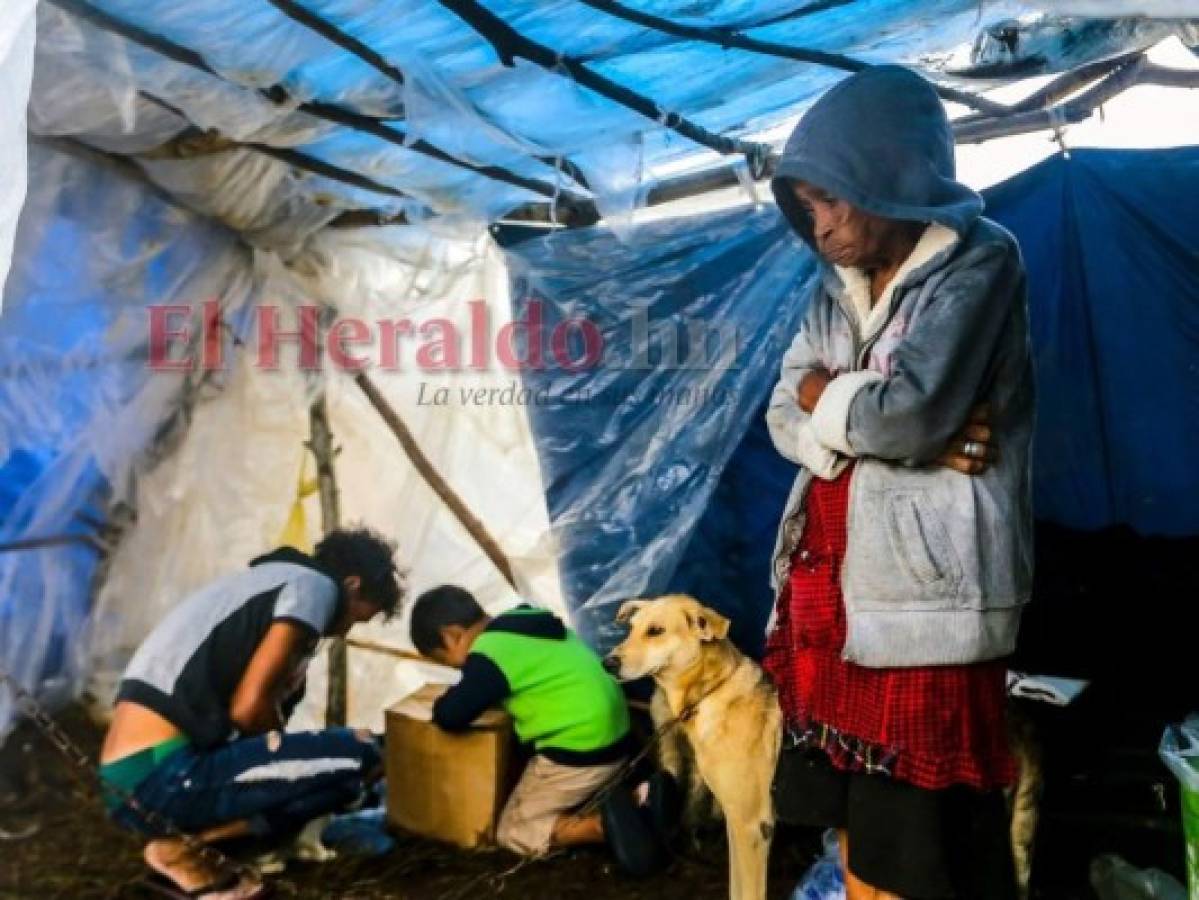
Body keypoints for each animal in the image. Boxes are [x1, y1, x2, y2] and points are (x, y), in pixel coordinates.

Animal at [613, 599, 781, 900]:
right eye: (631, 629)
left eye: (655, 630)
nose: (607, 662)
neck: (711, 692)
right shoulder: (735, 820)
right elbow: (736, 887)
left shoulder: (753, 825)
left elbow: (749, 892)